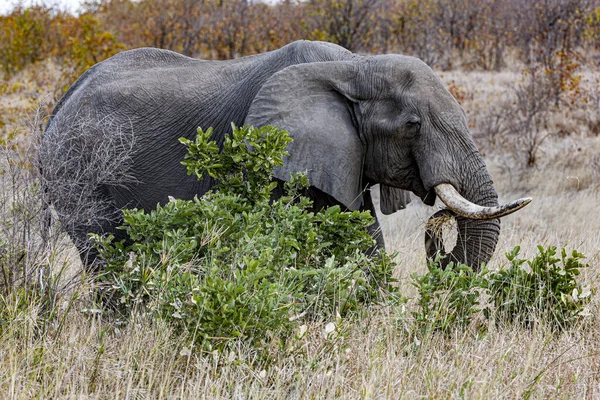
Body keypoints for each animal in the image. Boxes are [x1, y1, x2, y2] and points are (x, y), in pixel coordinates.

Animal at [39, 40, 528, 270]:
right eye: (413, 125)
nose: (437, 246)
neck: (354, 65)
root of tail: (58, 107)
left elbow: (364, 241)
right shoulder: (274, 157)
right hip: (79, 179)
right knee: (103, 259)